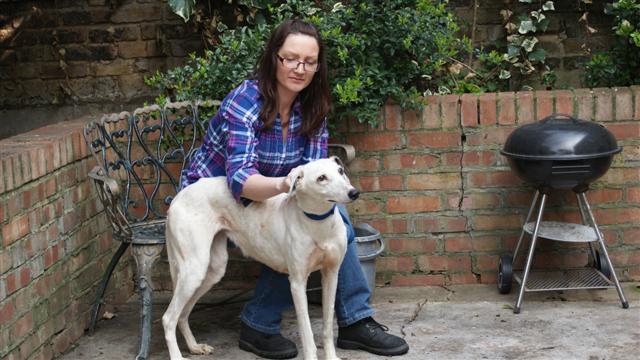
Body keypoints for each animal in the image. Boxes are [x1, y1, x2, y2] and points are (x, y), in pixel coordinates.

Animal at [161, 157, 360, 360]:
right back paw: (177, 355)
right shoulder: (297, 283)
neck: (318, 222)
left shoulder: (331, 275)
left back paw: (194, 346)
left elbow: (327, 326)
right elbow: (307, 334)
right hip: (194, 270)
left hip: (212, 271)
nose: (354, 193)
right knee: (169, 318)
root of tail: (178, 197)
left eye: (340, 170)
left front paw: (332, 357)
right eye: (321, 178)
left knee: (182, 314)